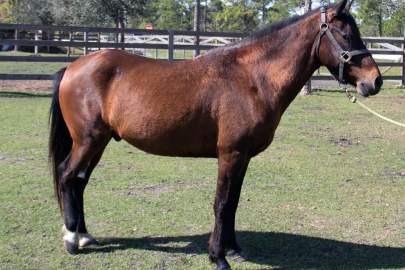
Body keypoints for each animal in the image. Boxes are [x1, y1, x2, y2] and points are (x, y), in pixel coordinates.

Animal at [49, 1, 380, 268]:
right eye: (346, 34)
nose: (375, 81)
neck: (252, 79)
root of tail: (74, 67)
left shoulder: (243, 157)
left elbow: (233, 202)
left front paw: (233, 249)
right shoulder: (230, 154)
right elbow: (221, 203)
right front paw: (218, 257)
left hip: (99, 142)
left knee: (79, 182)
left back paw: (84, 235)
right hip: (88, 141)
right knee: (67, 175)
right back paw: (71, 240)